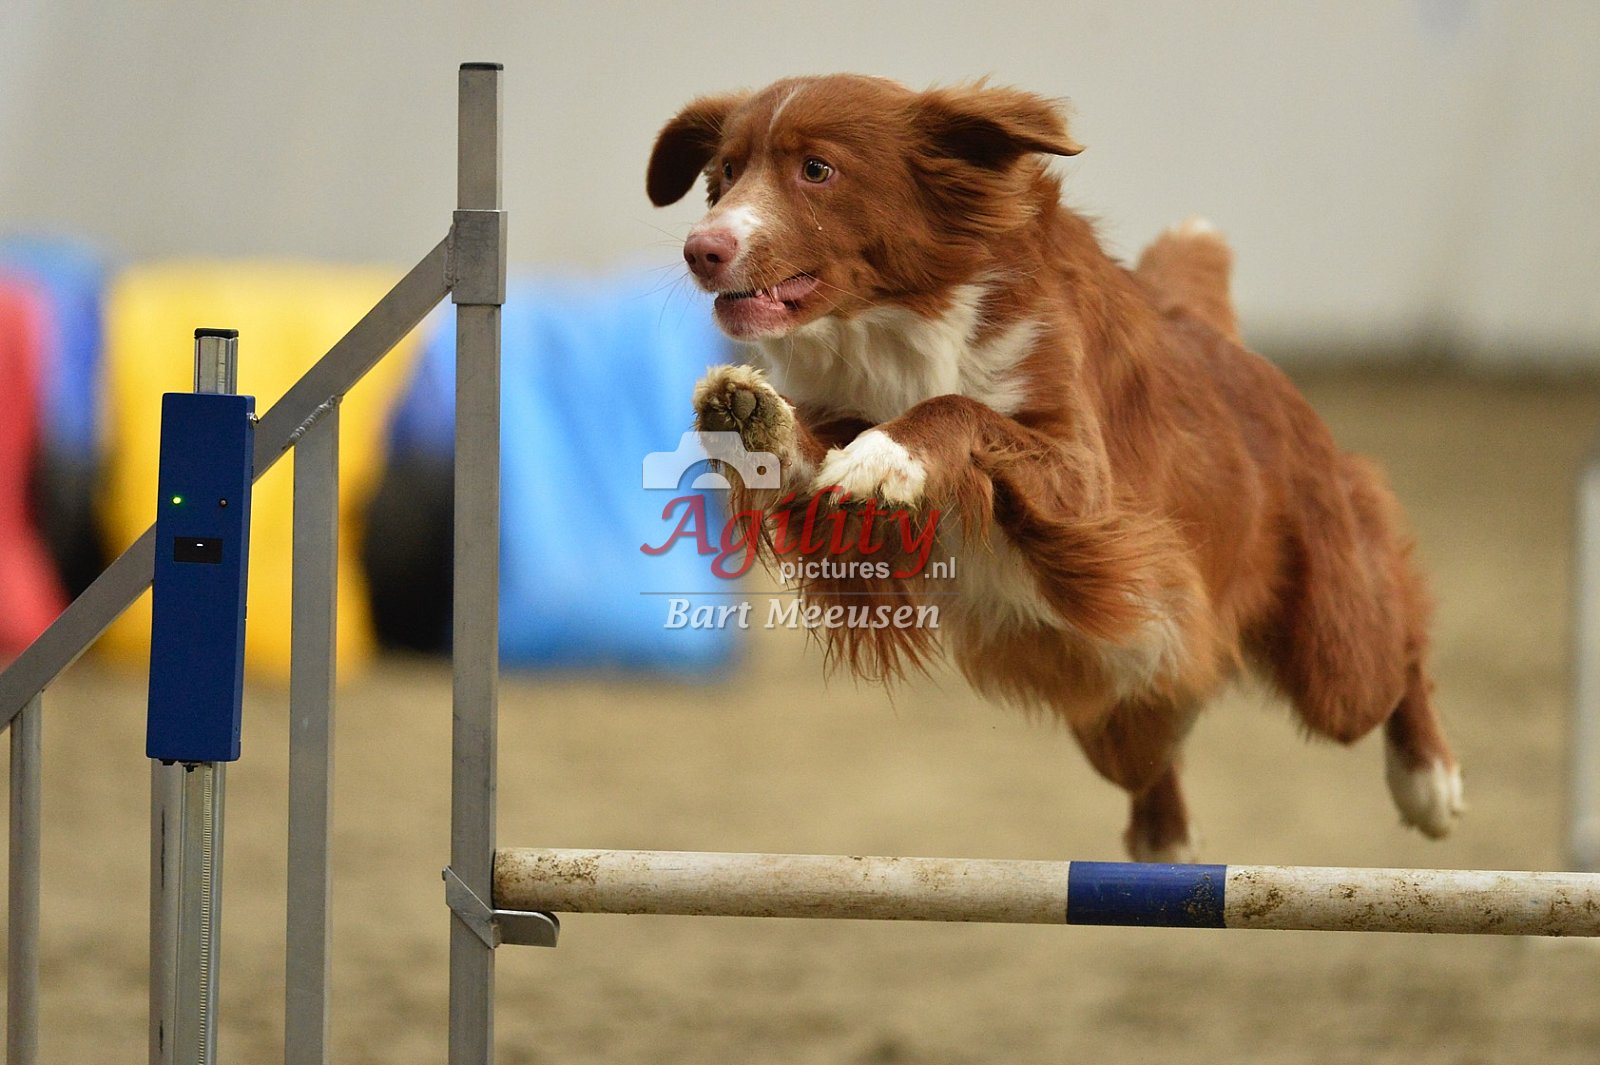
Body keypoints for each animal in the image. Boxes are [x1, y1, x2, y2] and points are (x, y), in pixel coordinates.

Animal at [647, 74, 1463, 861]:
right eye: (724, 175)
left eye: (817, 169)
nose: (701, 250)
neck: (905, 328)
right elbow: (821, 457)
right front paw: (755, 417)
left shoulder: (1086, 485)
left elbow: (961, 410)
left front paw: (890, 449)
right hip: (1121, 715)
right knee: (1152, 762)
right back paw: (1164, 840)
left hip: (1333, 653)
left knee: (1399, 636)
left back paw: (1428, 778)